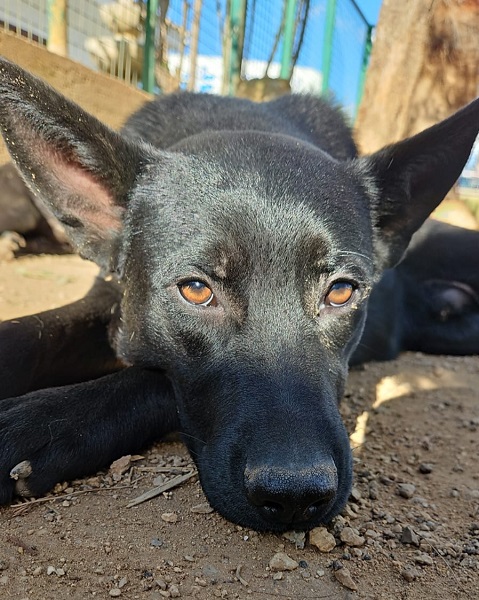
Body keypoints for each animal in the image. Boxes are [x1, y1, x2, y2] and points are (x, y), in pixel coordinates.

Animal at [0, 57, 479, 536]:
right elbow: (26, 336)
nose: (295, 495)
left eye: (341, 291)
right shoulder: (106, 300)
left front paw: (28, 426)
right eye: (196, 290)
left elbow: (153, 378)